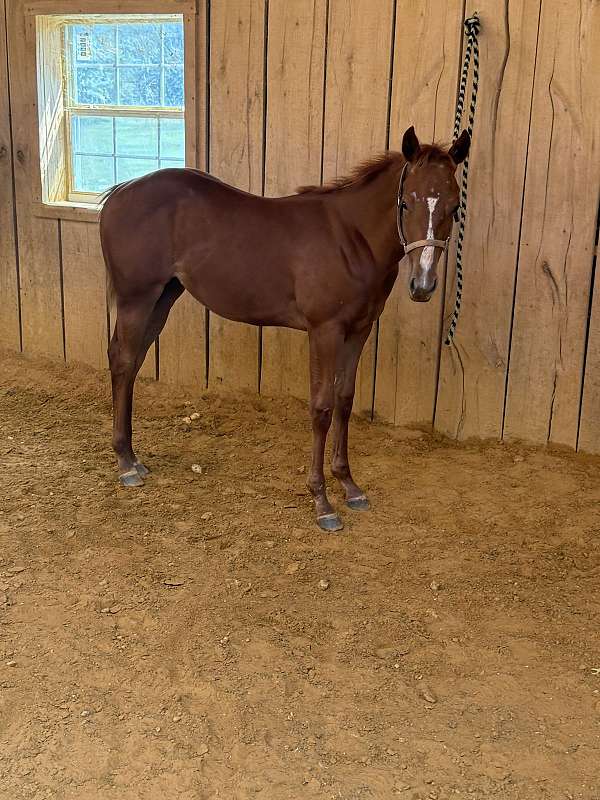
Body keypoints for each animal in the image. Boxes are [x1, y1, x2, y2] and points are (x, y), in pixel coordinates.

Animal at [100, 125, 470, 532]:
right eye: (406, 202)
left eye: (454, 206)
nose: (423, 284)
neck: (349, 238)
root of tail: (119, 192)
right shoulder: (324, 331)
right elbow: (322, 407)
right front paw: (322, 501)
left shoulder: (358, 330)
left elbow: (344, 400)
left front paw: (349, 485)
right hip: (137, 298)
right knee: (122, 361)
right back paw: (125, 463)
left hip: (164, 296)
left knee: (132, 363)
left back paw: (134, 458)